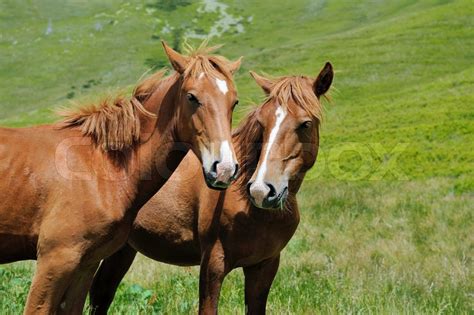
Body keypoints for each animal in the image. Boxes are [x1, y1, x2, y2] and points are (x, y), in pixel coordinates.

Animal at [0, 42, 243, 315]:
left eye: (234, 102)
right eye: (192, 97)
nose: (224, 169)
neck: (100, 166)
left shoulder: (86, 264)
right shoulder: (55, 260)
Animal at [88, 63, 334, 314]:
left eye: (305, 124)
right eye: (262, 123)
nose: (261, 191)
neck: (251, 210)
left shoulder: (264, 266)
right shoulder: (213, 264)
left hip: (123, 249)